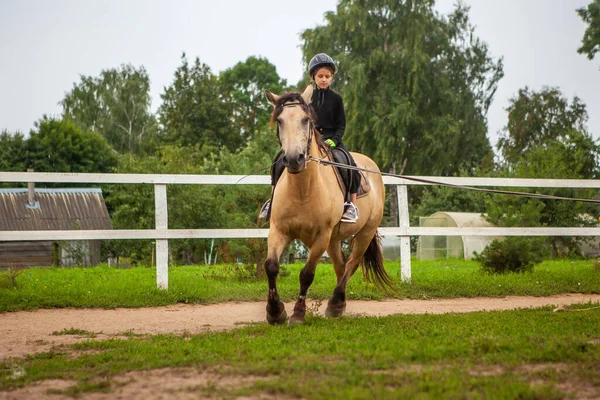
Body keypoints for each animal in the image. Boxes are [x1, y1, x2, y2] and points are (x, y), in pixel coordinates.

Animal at [262, 85, 394, 324]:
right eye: (280, 120)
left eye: (306, 119)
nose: (294, 159)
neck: (303, 191)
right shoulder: (278, 230)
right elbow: (271, 266)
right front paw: (275, 312)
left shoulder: (321, 237)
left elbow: (306, 274)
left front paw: (298, 313)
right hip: (334, 240)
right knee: (340, 267)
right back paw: (339, 304)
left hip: (364, 233)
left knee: (352, 264)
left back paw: (335, 303)